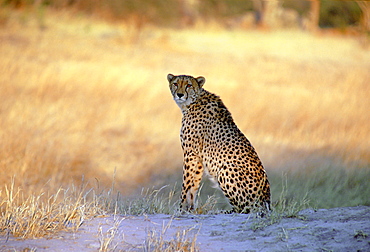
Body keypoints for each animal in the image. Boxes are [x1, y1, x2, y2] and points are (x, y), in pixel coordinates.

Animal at [167, 73, 268, 213]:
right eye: (176, 84)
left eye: (189, 85)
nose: (180, 94)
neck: (192, 102)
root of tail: (266, 203)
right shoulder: (198, 158)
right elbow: (193, 185)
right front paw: (190, 209)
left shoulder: (191, 154)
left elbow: (186, 184)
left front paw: (180, 209)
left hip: (226, 168)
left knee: (243, 208)